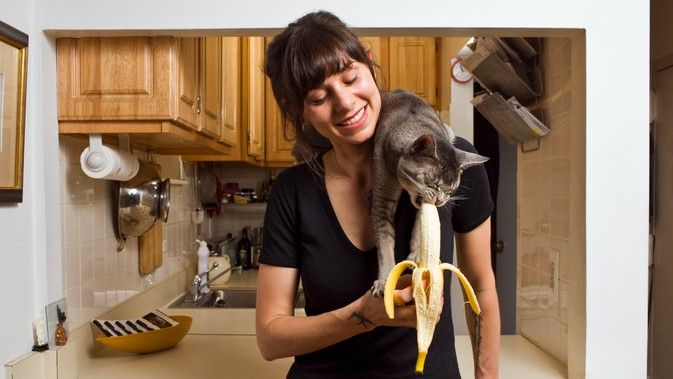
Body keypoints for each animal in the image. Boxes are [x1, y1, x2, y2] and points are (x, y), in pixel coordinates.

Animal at [368, 90, 488, 298]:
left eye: (451, 190)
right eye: (433, 183)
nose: (441, 201)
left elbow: (419, 226)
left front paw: (417, 253)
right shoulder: (382, 197)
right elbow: (384, 242)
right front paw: (384, 281)